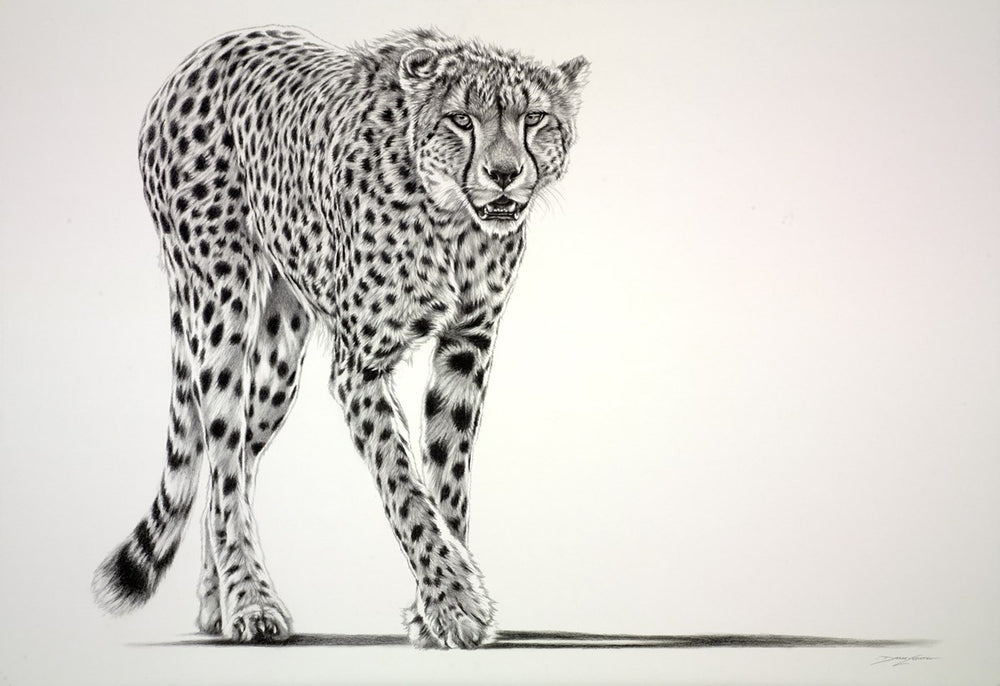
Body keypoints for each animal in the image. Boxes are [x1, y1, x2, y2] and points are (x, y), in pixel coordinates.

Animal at [91, 25, 588, 649]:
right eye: (461, 120)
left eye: (536, 118)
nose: (504, 173)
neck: (452, 223)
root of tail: (206, 51)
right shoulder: (361, 370)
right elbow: (404, 485)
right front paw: (453, 602)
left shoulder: (468, 343)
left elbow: (447, 477)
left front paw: (433, 610)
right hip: (219, 304)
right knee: (224, 458)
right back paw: (250, 601)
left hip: (280, 355)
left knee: (237, 461)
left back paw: (215, 602)